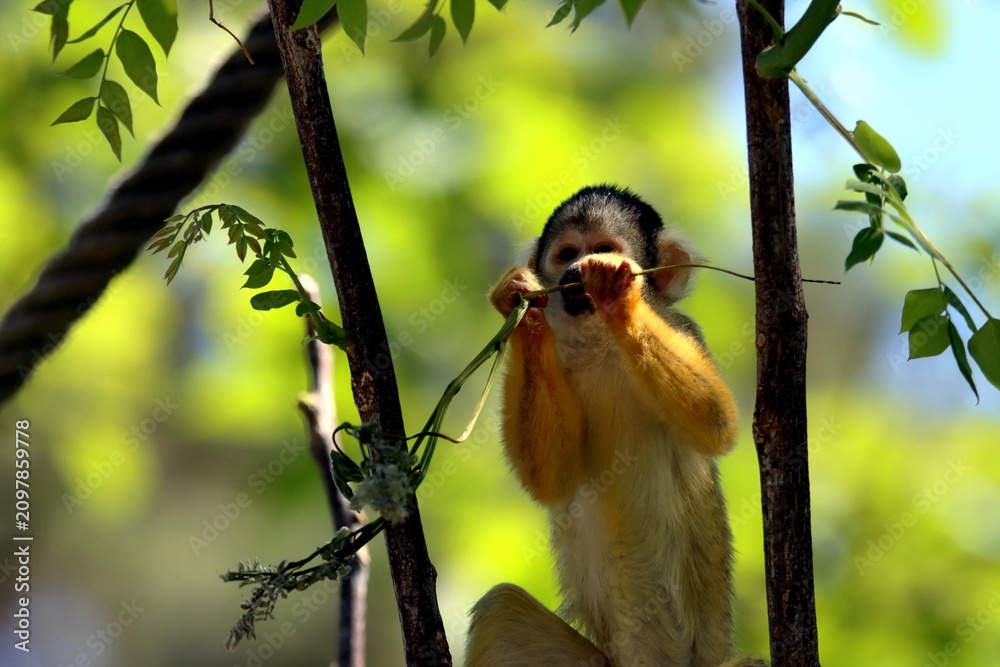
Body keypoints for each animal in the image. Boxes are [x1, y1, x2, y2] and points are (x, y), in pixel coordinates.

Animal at [466, 185, 763, 667]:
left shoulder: (682, 326)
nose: (575, 271)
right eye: (567, 253)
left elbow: (716, 423)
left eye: (603, 247)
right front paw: (521, 306)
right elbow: (554, 480)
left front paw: (617, 294)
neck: (598, 340)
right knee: (500, 609)